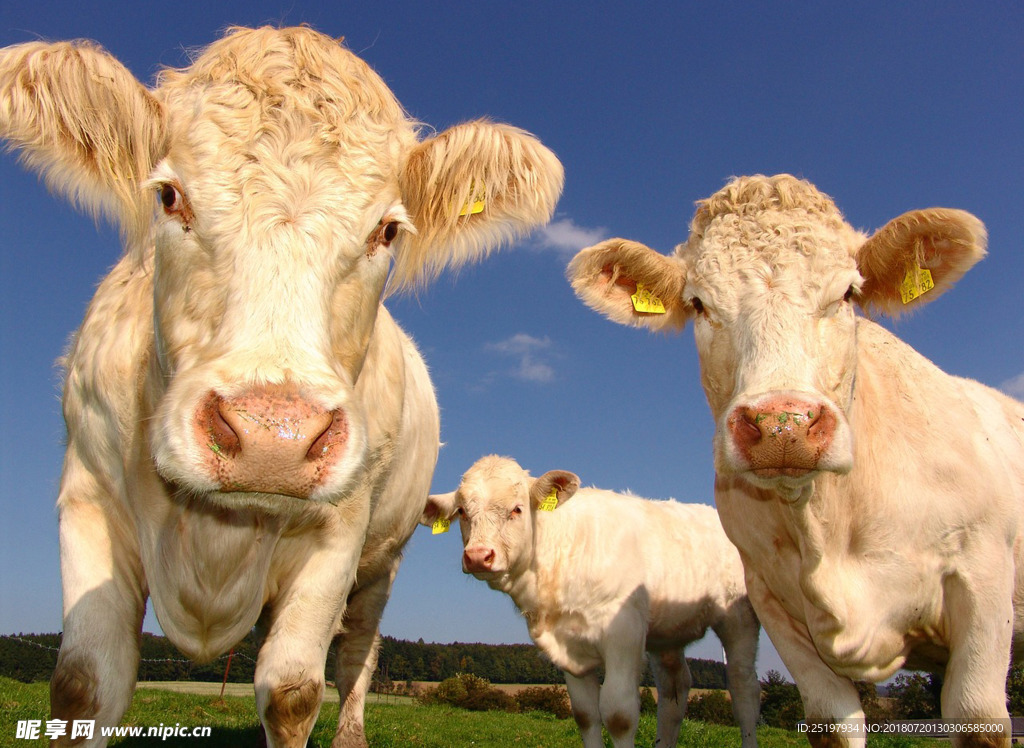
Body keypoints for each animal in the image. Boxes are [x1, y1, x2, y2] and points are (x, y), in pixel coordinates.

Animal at [0, 26, 565, 741]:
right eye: (169, 196)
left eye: (387, 230)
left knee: (356, 655)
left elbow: (295, 689)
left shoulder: (341, 533)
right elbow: (83, 682)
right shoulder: (88, 497)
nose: (274, 437)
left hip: (381, 564)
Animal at [421, 454, 761, 745]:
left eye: (517, 509)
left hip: (739, 617)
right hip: (667, 633)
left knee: (744, 690)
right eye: (462, 512)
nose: (478, 556)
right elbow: (586, 716)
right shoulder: (569, 650)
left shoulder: (624, 633)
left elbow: (619, 716)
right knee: (674, 692)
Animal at [569, 176, 1024, 745]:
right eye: (698, 303)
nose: (781, 425)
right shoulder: (774, 602)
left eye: (848, 293)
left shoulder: (983, 578)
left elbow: (975, 717)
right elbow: (830, 722)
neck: (829, 525)